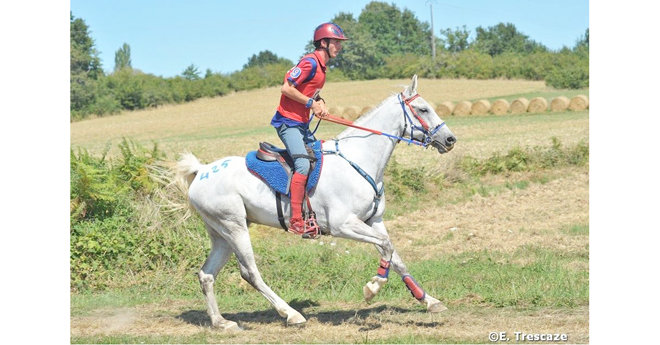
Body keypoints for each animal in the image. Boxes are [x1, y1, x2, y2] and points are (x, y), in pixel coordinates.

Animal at [173, 74, 456, 328]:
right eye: (423, 109)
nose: (450, 139)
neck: (358, 160)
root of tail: (202, 170)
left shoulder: (373, 220)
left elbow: (395, 256)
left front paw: (428, 300)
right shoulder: (343, 225)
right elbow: (387, 247)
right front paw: (372, 288)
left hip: (221, 233)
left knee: (207, 275)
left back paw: (221, 322)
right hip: (235, 227)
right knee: (250, 272)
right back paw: (291, 314)